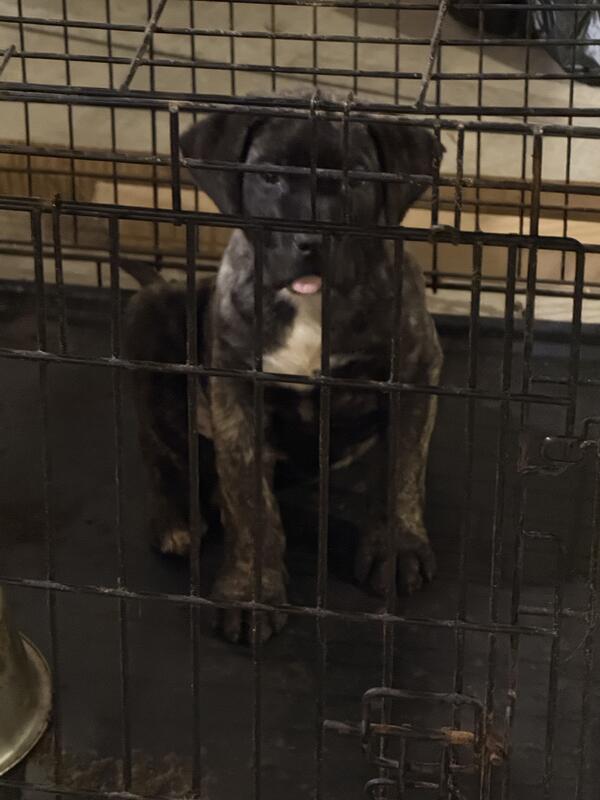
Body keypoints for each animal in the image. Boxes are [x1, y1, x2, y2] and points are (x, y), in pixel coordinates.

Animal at [126, 99, 443, 643]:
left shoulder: (415, 371)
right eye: (270, 176)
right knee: (161, 454)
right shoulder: (237, 394)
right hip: (151, 316)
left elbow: (401, 468)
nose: (311, 238)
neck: (309, 305)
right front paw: (250, 591)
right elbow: (250, 499)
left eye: (358, 177)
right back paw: (175, 519)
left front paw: (397, 548)